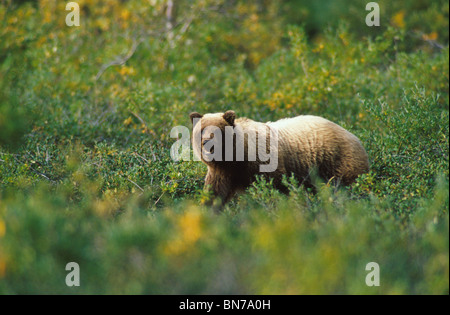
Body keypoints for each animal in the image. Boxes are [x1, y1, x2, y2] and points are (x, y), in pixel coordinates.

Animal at [190, 111, 370, 210]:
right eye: (201, 130)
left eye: (217, 131)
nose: (206, 143)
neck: (237, 159)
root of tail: (355, 136)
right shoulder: (223, 172)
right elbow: (214, 194)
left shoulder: (264, 163)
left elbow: (276, 187)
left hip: (338, 159)